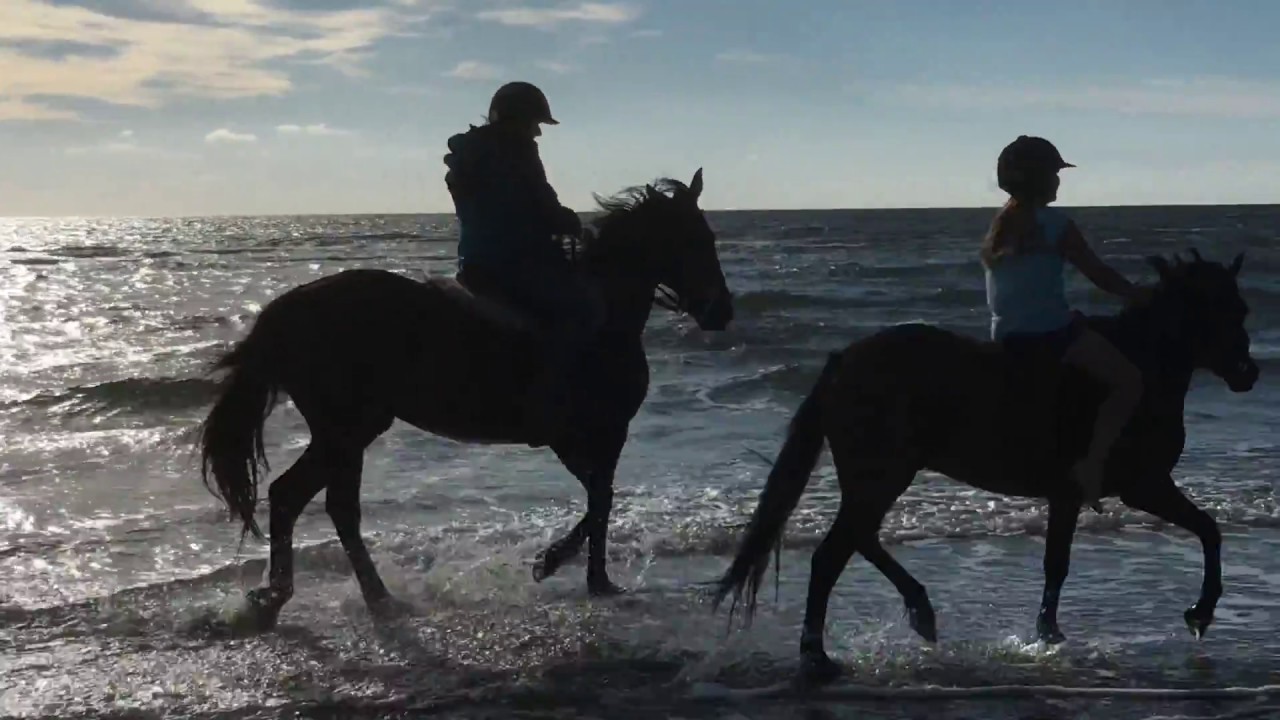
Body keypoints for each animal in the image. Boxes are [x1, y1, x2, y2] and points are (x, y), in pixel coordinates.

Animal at [198, 169, 734, 630]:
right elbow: (601, 500)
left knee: (329, 506)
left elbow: (599, 499)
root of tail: (284, 312)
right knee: (298, 498)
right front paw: (565, 568)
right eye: (697, 240)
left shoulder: (589, 438)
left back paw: (356, 599)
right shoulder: (589, 434)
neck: (605, 315)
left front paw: (579, 573)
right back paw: (300, 599)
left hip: (347, 433)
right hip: (346, 429)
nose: (721, 313)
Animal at [712, 250, 1257, 684]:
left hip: (878, 479)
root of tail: (844, 360)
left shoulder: (1072, 495)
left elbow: (1061, 563)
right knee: (832, 554)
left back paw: (916, 613)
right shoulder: (1141, 485)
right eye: (1221, 309)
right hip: (882, 476)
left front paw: (1048, 635)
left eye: (1241, 308)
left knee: (858, 538)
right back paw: (819, 657)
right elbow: (1207, 530)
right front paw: (1201, 612)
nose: (1248, 374)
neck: (1144, 365)